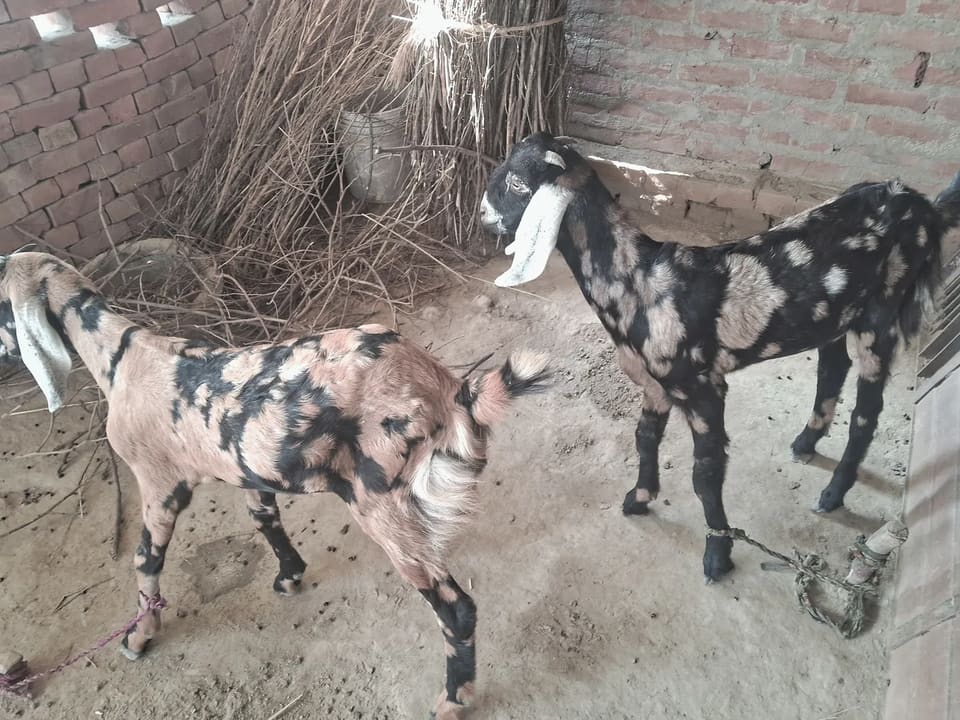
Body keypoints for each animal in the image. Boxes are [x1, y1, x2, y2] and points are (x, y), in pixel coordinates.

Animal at [0, 251, 550, 720]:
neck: (122, 356)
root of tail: (443, 386)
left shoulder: (160, 483)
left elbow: (145, 561)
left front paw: (140, 638)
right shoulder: (249, 468)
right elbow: (264, 519)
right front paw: (290, 575)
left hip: (381, 501)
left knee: (455, 609)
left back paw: (453, 700)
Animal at [480, 131, 960, 581]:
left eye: (518, 182)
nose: (483, 216)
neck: (637, 280)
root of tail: (922, 205)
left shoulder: (702, 387)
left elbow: (705, 476)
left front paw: (717, 553)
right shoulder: (656, 384)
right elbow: (644, 439)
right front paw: (640, 498)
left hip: (881, 315)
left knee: (867, 410)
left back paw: (832, 493)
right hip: (835, 315)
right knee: (833, 367)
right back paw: (806, 443)